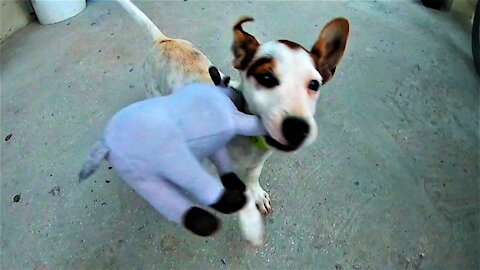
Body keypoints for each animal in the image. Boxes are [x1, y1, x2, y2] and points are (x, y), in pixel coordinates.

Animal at [115, 0, 350, 246]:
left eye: (314, 84)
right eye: (266, 78)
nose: (297, 129)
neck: (247, 136)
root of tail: (164, 40)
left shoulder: (258, 161)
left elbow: (252, 177)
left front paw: (257, 194)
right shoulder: (214, 173)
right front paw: (250, 222)